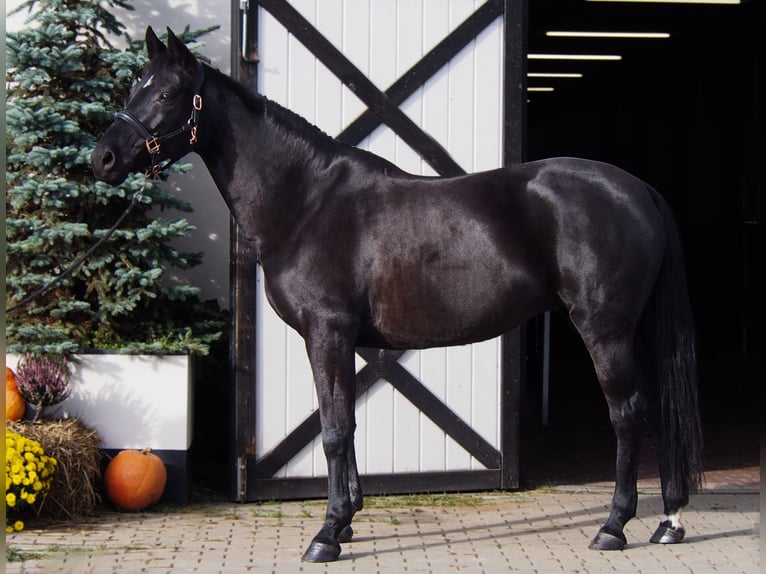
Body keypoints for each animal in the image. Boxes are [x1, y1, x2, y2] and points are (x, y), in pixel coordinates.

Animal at [93, 29, 704, 564]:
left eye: (166, 93)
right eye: (133, 87)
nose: (103, 159)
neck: (304, 198)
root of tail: (637, 189)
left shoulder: (328, 331)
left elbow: (335, 430)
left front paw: (328, 534)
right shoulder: (342, 339)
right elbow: (342, 424)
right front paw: (347, 520)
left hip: (604, 328)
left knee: (627, 413)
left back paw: (614, 526)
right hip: (632, 330)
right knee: (656, 411)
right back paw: (668, 521)